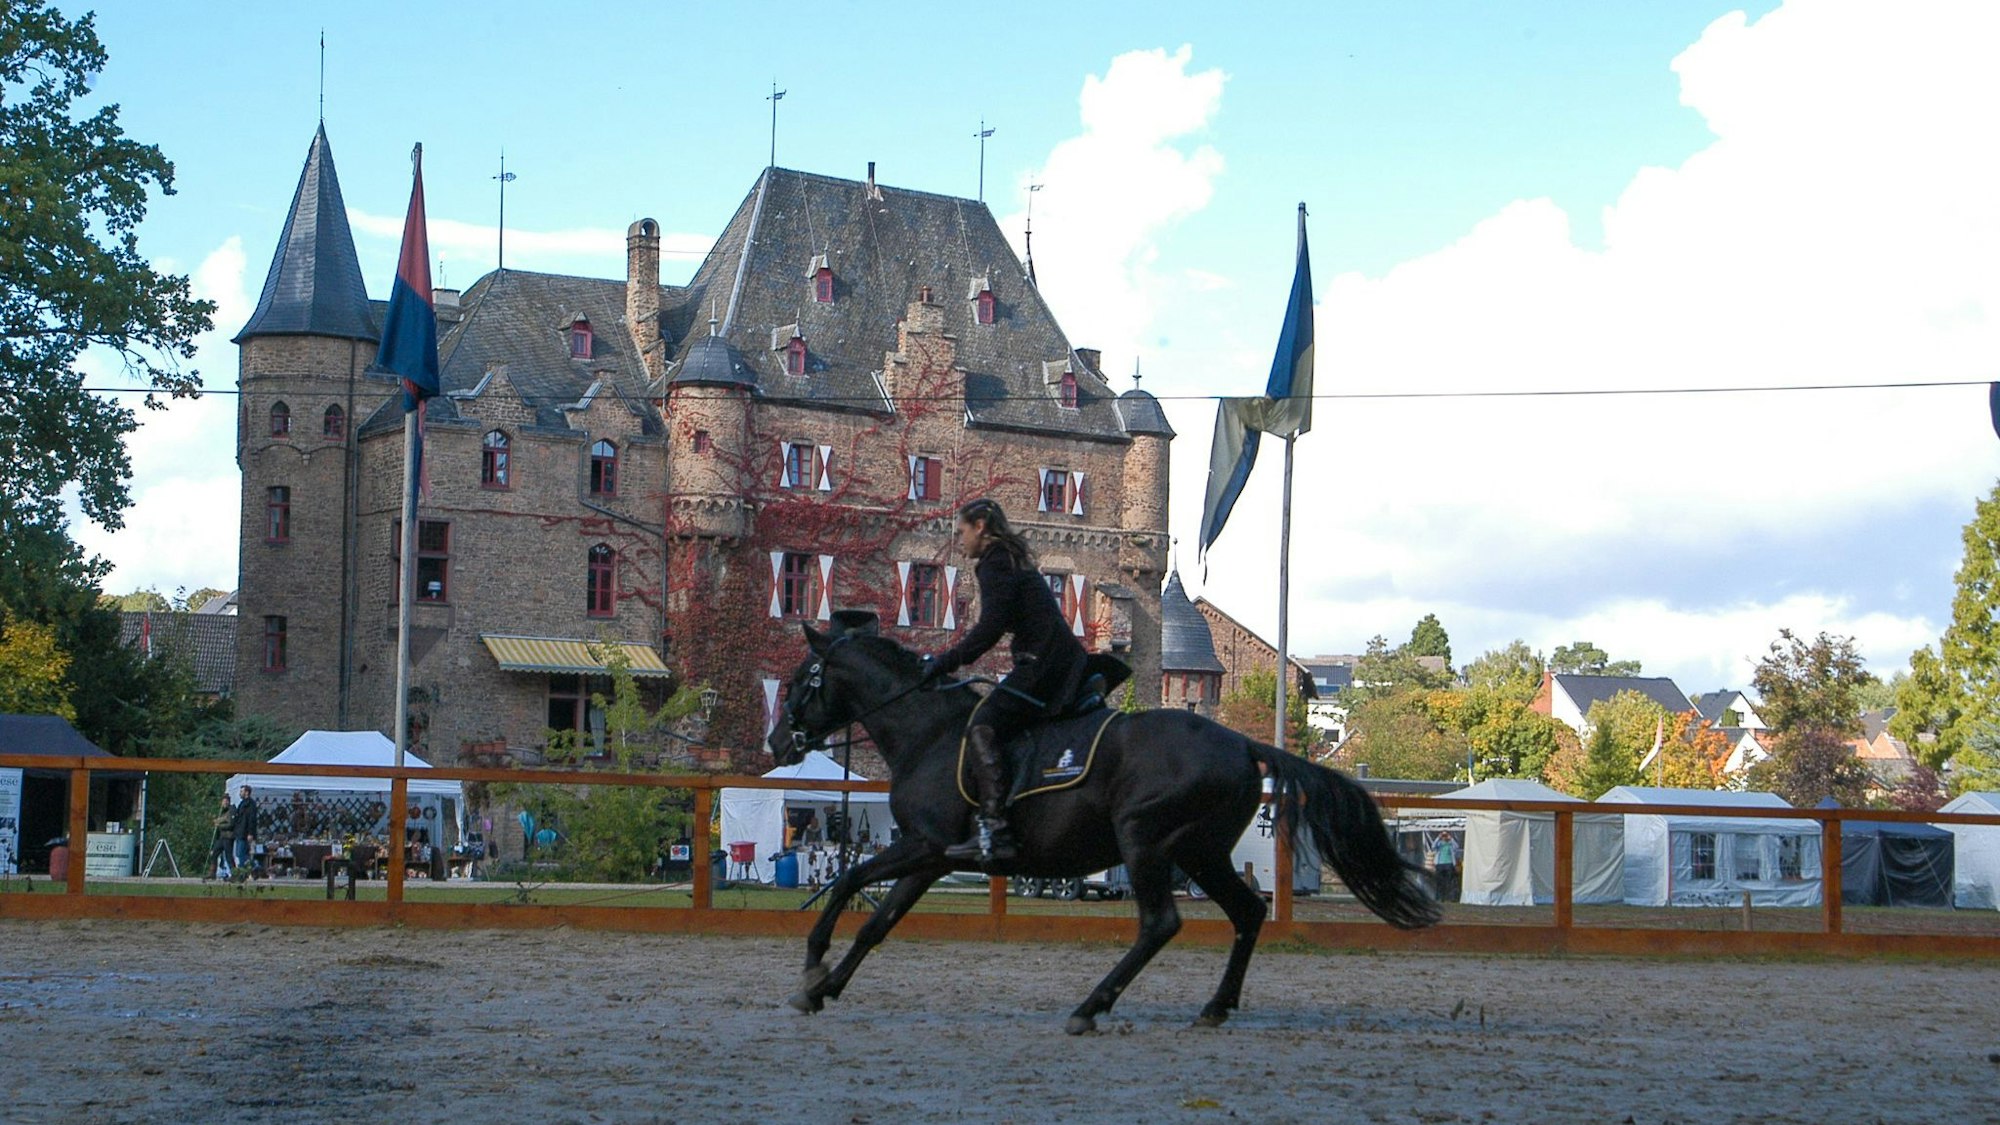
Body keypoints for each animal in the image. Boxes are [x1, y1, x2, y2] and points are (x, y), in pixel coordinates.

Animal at [765, 611, 1438, 1034]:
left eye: (801, 680)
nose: (777, 742)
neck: (929, 732)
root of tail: (1242, 743)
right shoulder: (930, 858)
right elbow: (876, 922)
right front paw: (824, 987)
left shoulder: (923, 846)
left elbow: (848, 885)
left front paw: (813, 968)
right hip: (1200, 853)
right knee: (1247, 912)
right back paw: (1215, 1006)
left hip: (1146, 843)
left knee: (1160, 923)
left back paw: (1092, 1006)